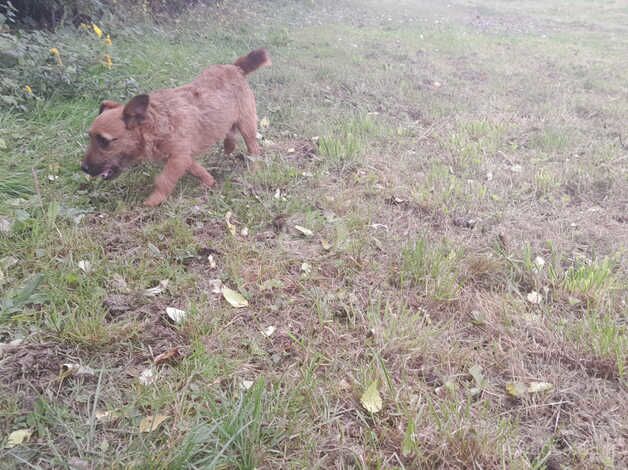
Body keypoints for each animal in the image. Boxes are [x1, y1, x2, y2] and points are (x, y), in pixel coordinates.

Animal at [81, 47, 270, 206]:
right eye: (90, 137)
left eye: (104, 141)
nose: (83, 168)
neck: (157, 123)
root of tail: (235, 67)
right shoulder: (182, 156)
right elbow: (197, 169)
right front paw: (209, 181)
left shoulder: (178, 158)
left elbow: (164, 180)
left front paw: (152, 201)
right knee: (230, 132)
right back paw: (229, 146)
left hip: (247, 124)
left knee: (254, 149)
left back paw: (254, 170)